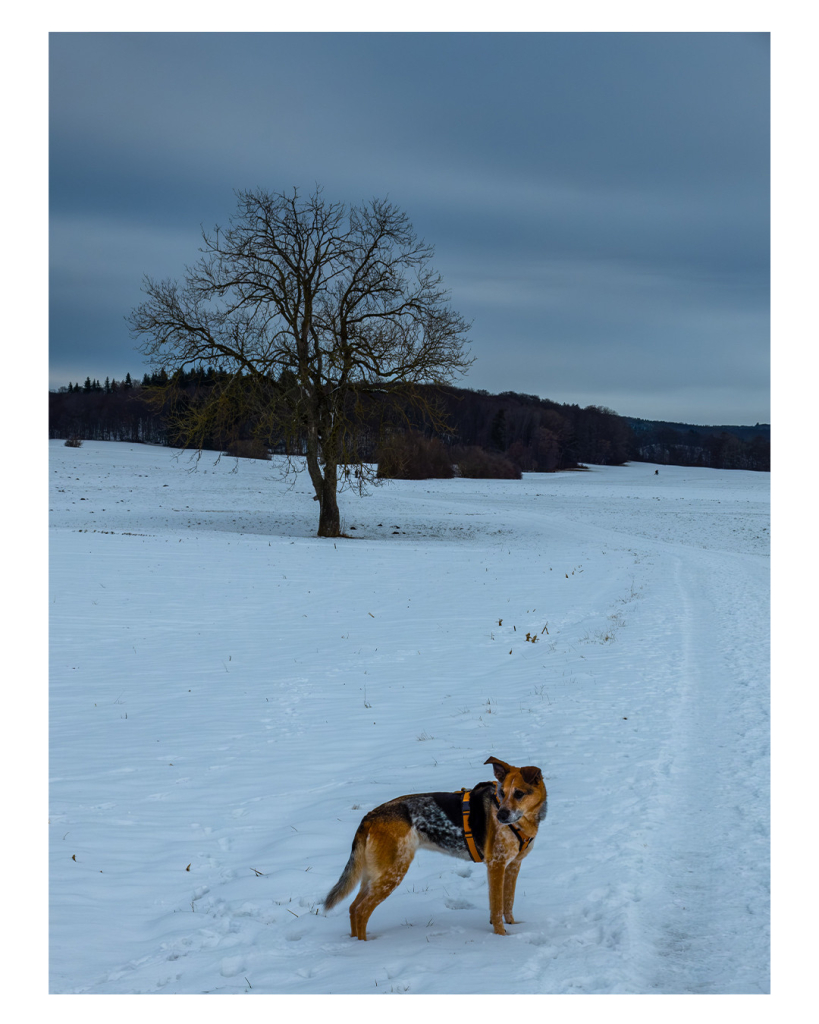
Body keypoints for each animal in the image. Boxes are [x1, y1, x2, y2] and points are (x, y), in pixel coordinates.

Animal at [323, 757, 548, 937]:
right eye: (501, 792)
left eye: (519, 793)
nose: (500, 816)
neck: (524, 822)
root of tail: (369, 817)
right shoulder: (496, 865)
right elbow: (497, 907)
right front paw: (502, 938)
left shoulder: (513, 866)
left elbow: (508, 903)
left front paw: (514, 926)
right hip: (392, 873)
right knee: (361, 911)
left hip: (374, 874)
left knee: (353, 908)